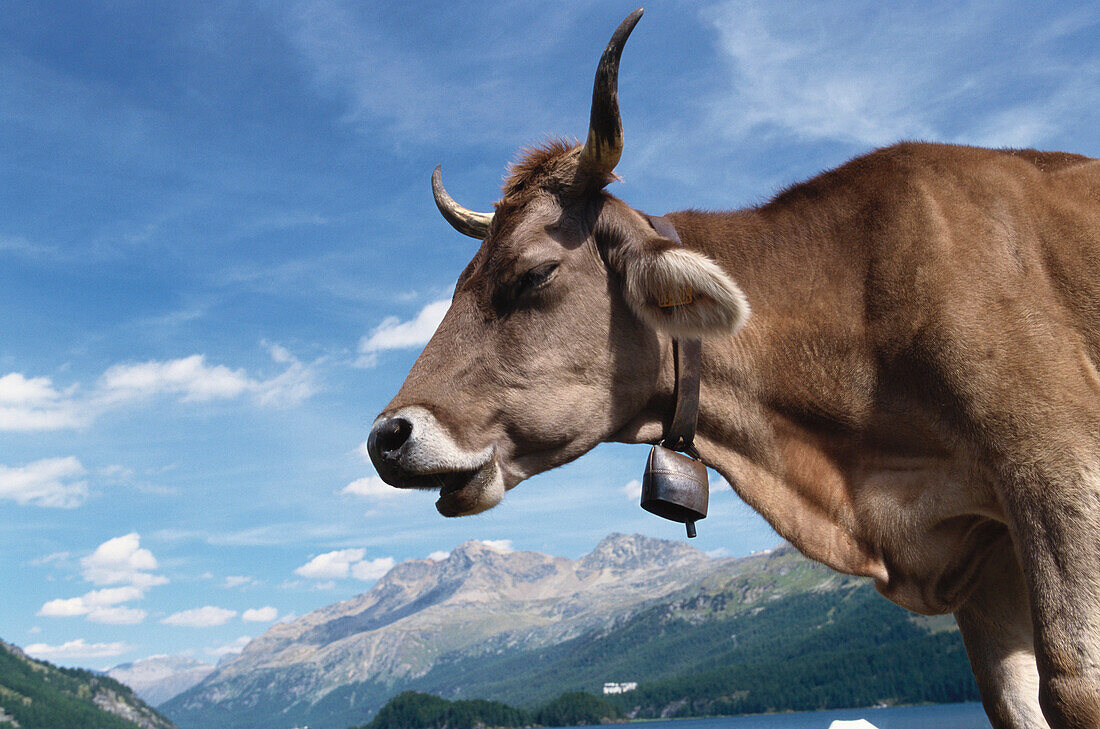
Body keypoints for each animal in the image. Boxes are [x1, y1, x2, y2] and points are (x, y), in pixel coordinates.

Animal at [369, 9, 1100, 729]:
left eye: (534, 274)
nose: (386, 438)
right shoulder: (984, 557)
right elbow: (1016, 702)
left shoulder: (1052, 465)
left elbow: (1073, 685)